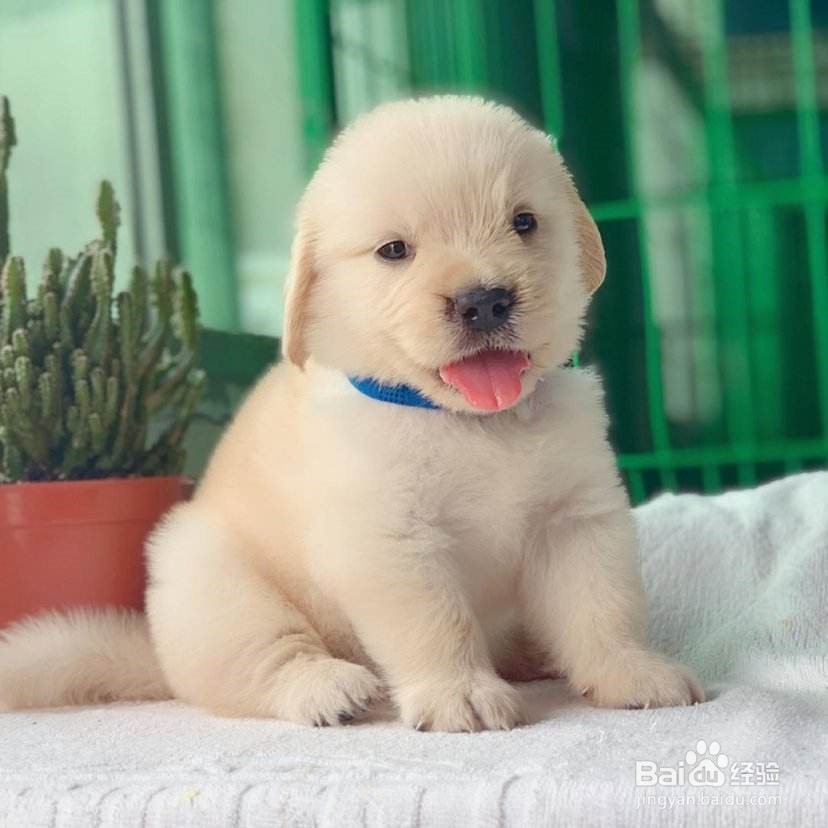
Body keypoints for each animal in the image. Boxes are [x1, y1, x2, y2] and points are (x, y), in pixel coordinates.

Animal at [0, 96, 702, 730]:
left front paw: (631, 671)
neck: (471, 423)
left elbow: (603, 606)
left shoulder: (576, 519)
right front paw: (461, 693)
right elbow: (437, 623)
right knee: (262, 660)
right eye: (394, 250)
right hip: (208, 576)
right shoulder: (389, 540)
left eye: (524, 222)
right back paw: (330, 688)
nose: (483, 301)